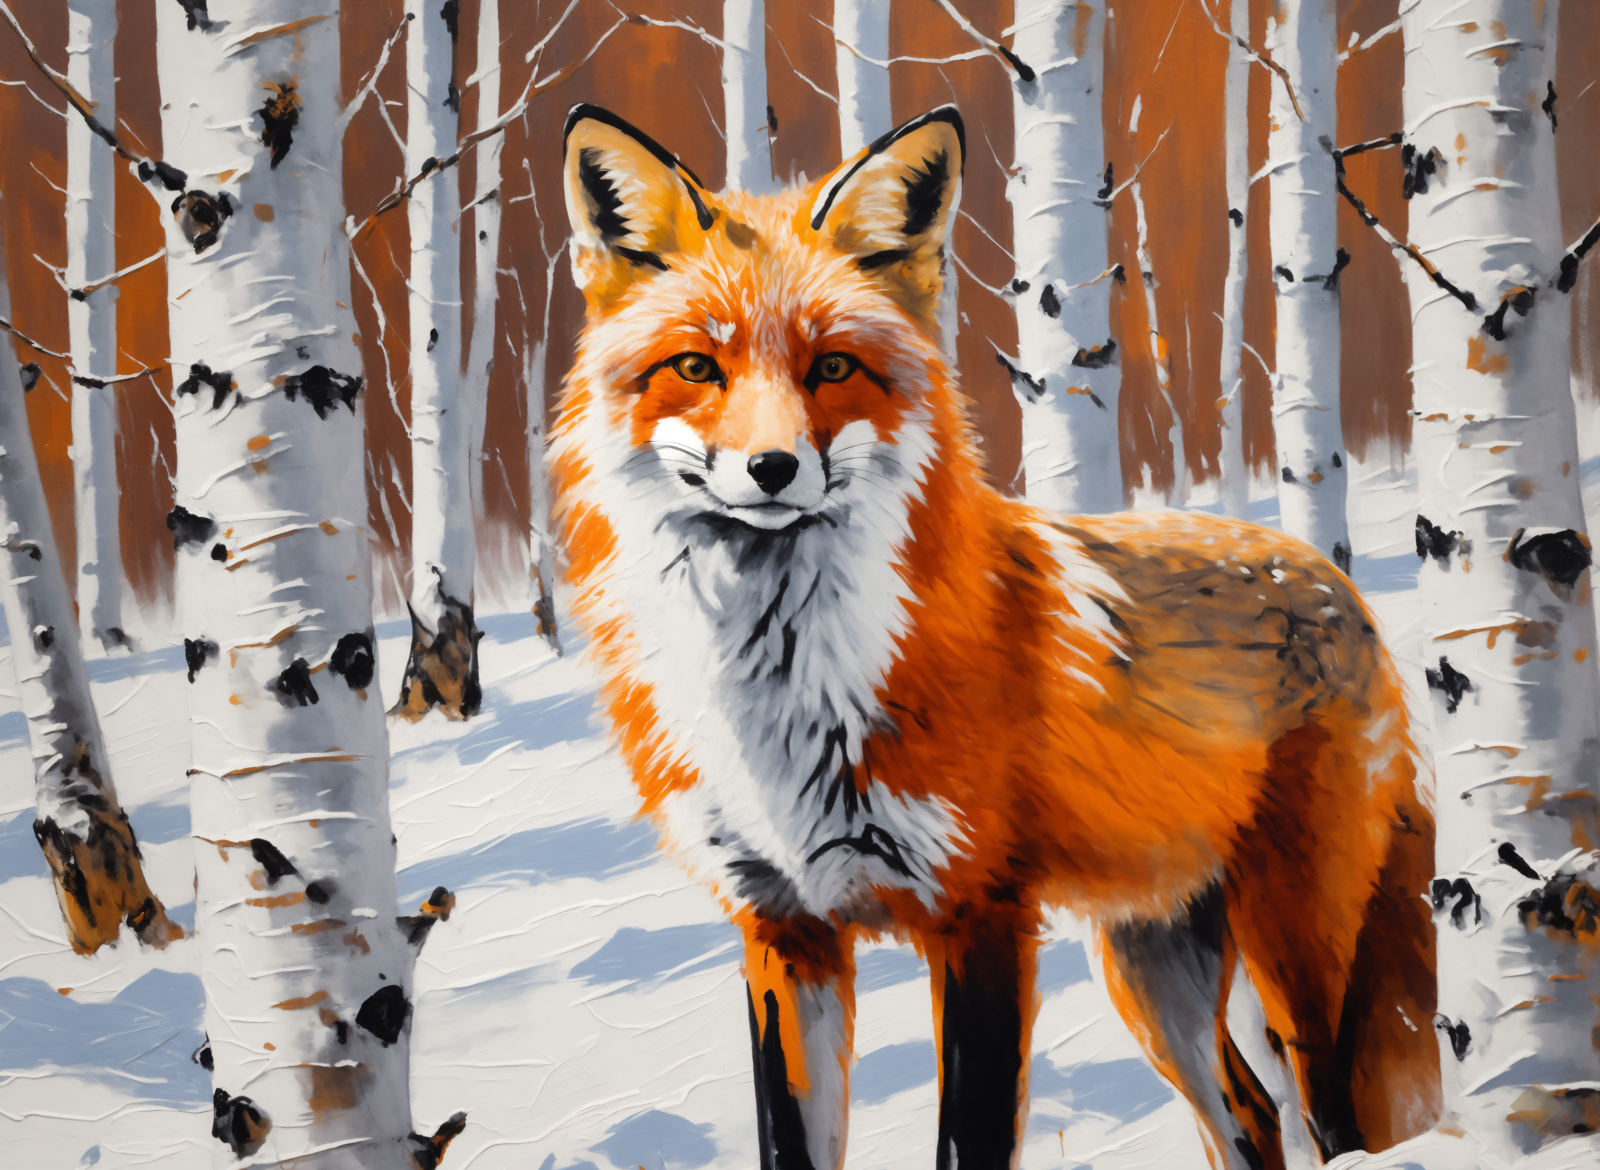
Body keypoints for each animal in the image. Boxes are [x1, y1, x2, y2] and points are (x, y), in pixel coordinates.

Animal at [550, 103, 1440, 1170]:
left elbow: (965, 1141)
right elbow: (789, 1141)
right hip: (1147, 963)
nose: (772, 468)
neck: (783, 700)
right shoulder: (782, 927)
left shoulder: (977, 915)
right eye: (696, 368)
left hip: (1297, 951)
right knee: (1250, 1116)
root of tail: (1324, 573)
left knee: (1330, 1121)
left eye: (831, 367)